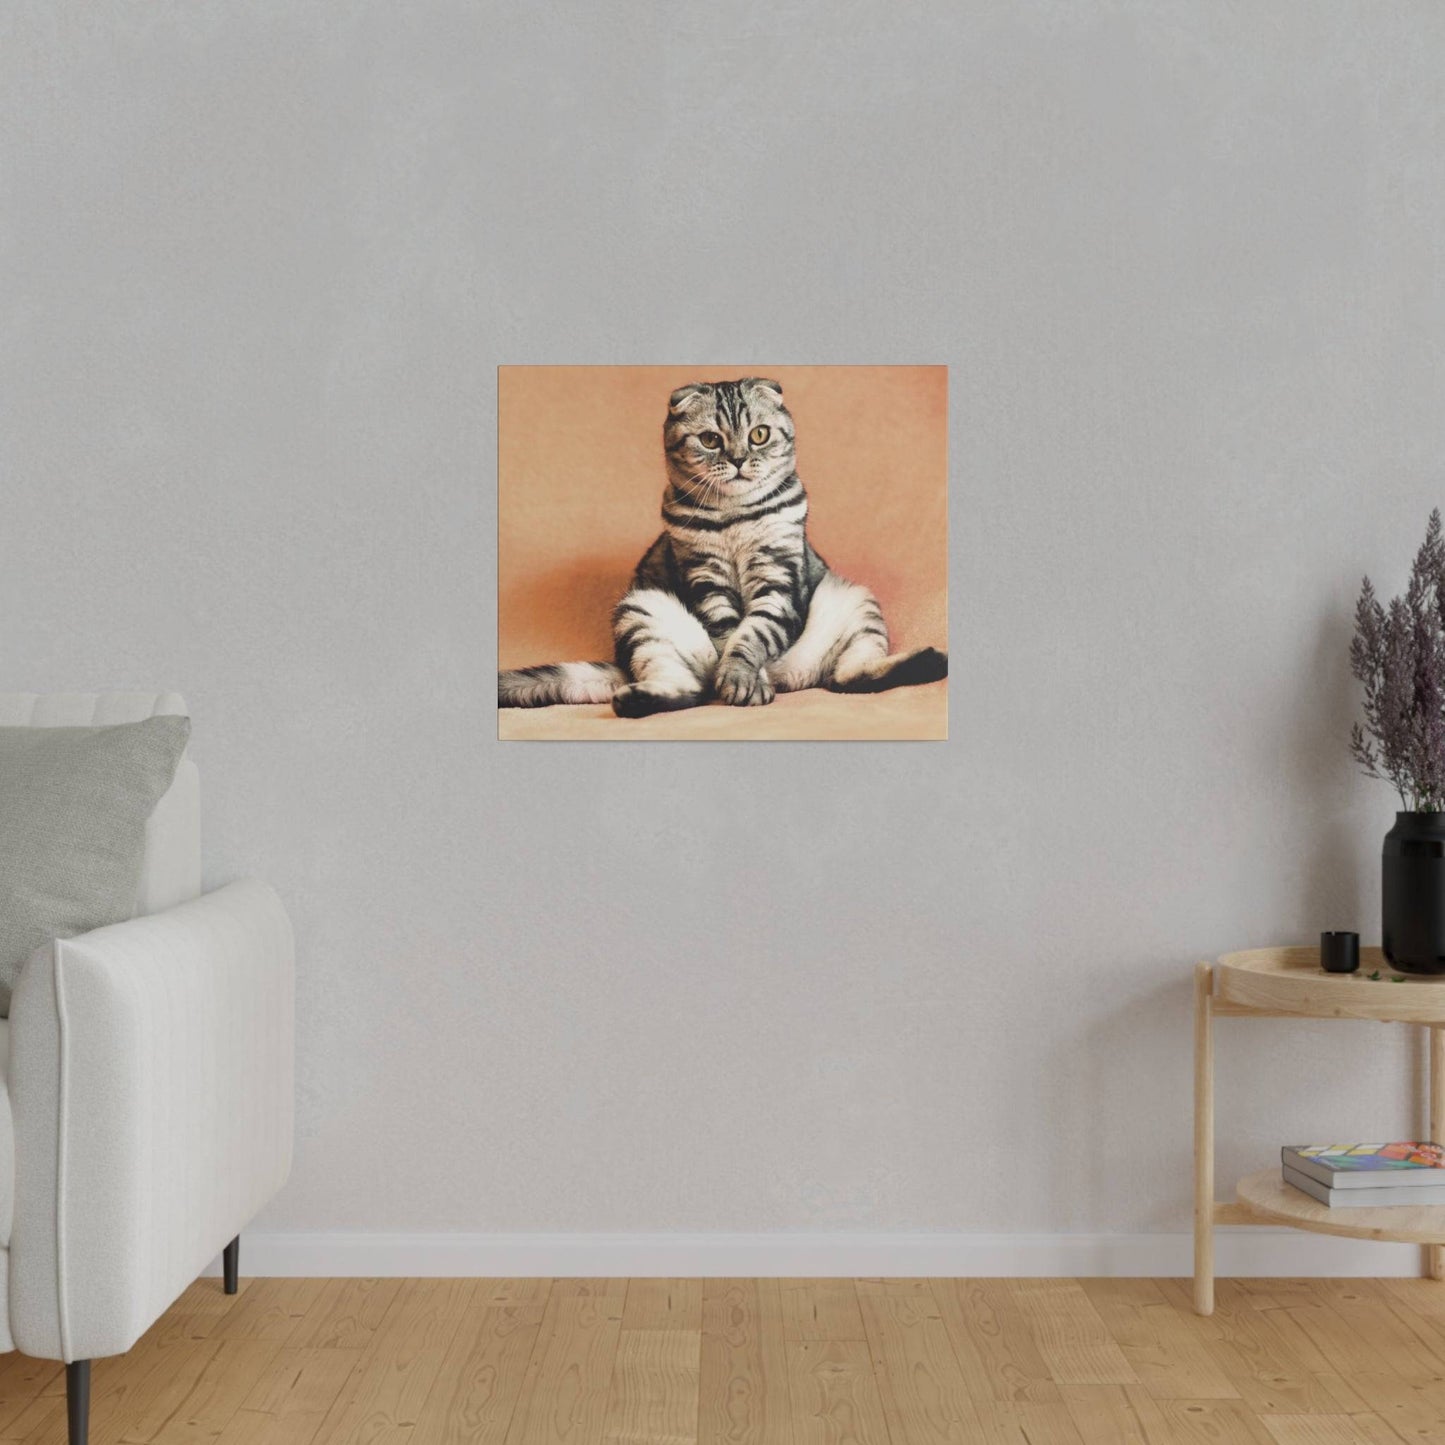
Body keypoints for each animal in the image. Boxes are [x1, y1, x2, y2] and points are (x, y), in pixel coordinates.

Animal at [497, 375, 947, 719]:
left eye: (759, 435)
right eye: (711, 440)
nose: (738, 459)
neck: (734, 520)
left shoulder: (778, 579)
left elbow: (753, 633)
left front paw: (743, 677)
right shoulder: (706, 578)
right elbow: (730, 634)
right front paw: (744, 682)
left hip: (855, 601)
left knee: (846, 678)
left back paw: (930, 659)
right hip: (641, 611)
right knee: (689, 688)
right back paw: (638, 699)